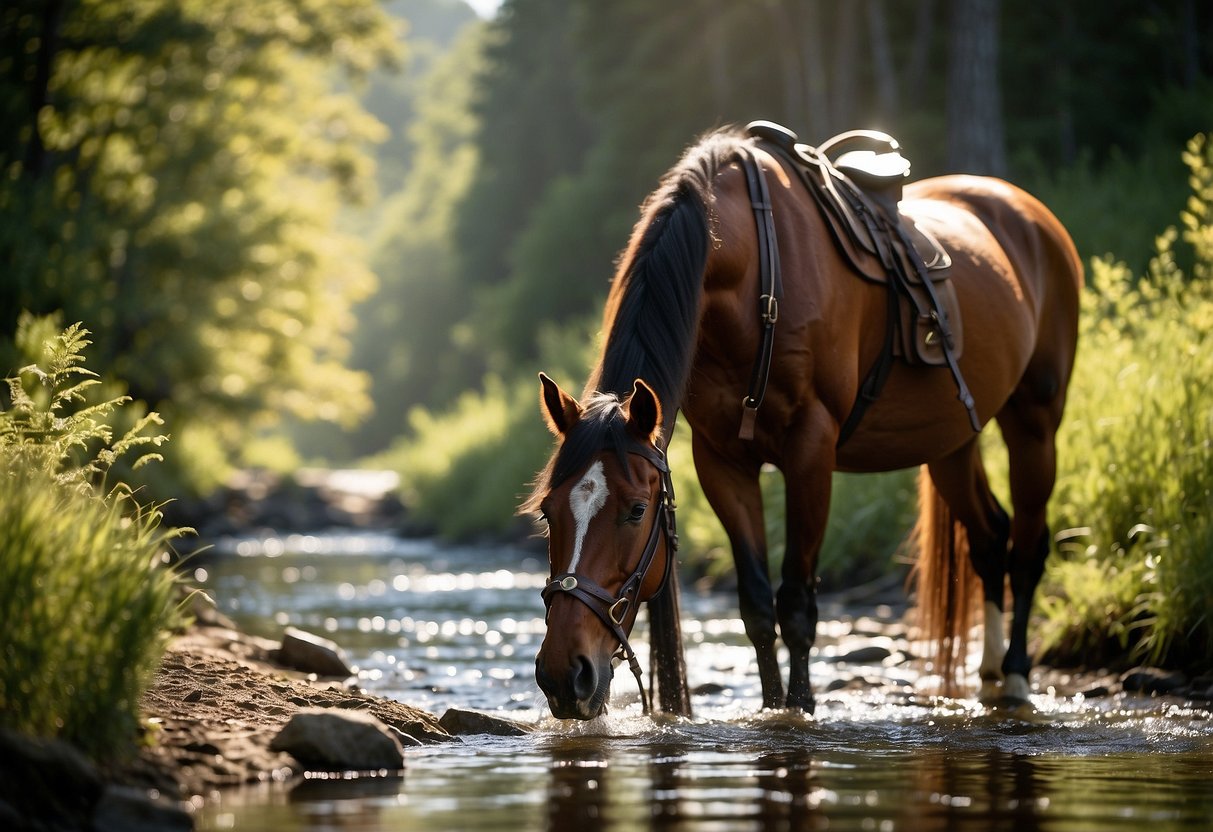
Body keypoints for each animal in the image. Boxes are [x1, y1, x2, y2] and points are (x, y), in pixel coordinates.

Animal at [524, 125, 1081, 722]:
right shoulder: (722, 462)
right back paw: (992, 672)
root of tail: (1033, 217)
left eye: (635, 511)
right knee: (990, 537)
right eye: (548, 512)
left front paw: (801, 708)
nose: (564, 673)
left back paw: (1018, 674)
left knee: (1028, 545)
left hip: (1035, 423)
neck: (754, 274)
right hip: (950, 443)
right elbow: (757, 608)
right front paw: (774, 708)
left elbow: (795, 605)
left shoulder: (811, 452)